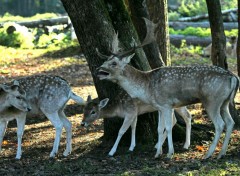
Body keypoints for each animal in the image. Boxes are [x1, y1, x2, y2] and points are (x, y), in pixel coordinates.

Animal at [95, 18, 238, 160]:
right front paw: (158, 153)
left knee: (220, 124)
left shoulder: (166, 104)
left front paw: (169, 153)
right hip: (224, 102)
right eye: (105, 60)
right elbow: (159, 129)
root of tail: (233, 77)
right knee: (230, 122)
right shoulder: (159, 107)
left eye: (114, 63)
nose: (98, 70)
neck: (146, 87)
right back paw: (221, 153)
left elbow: (168, 127)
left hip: (212, 100)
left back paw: (208, 154)